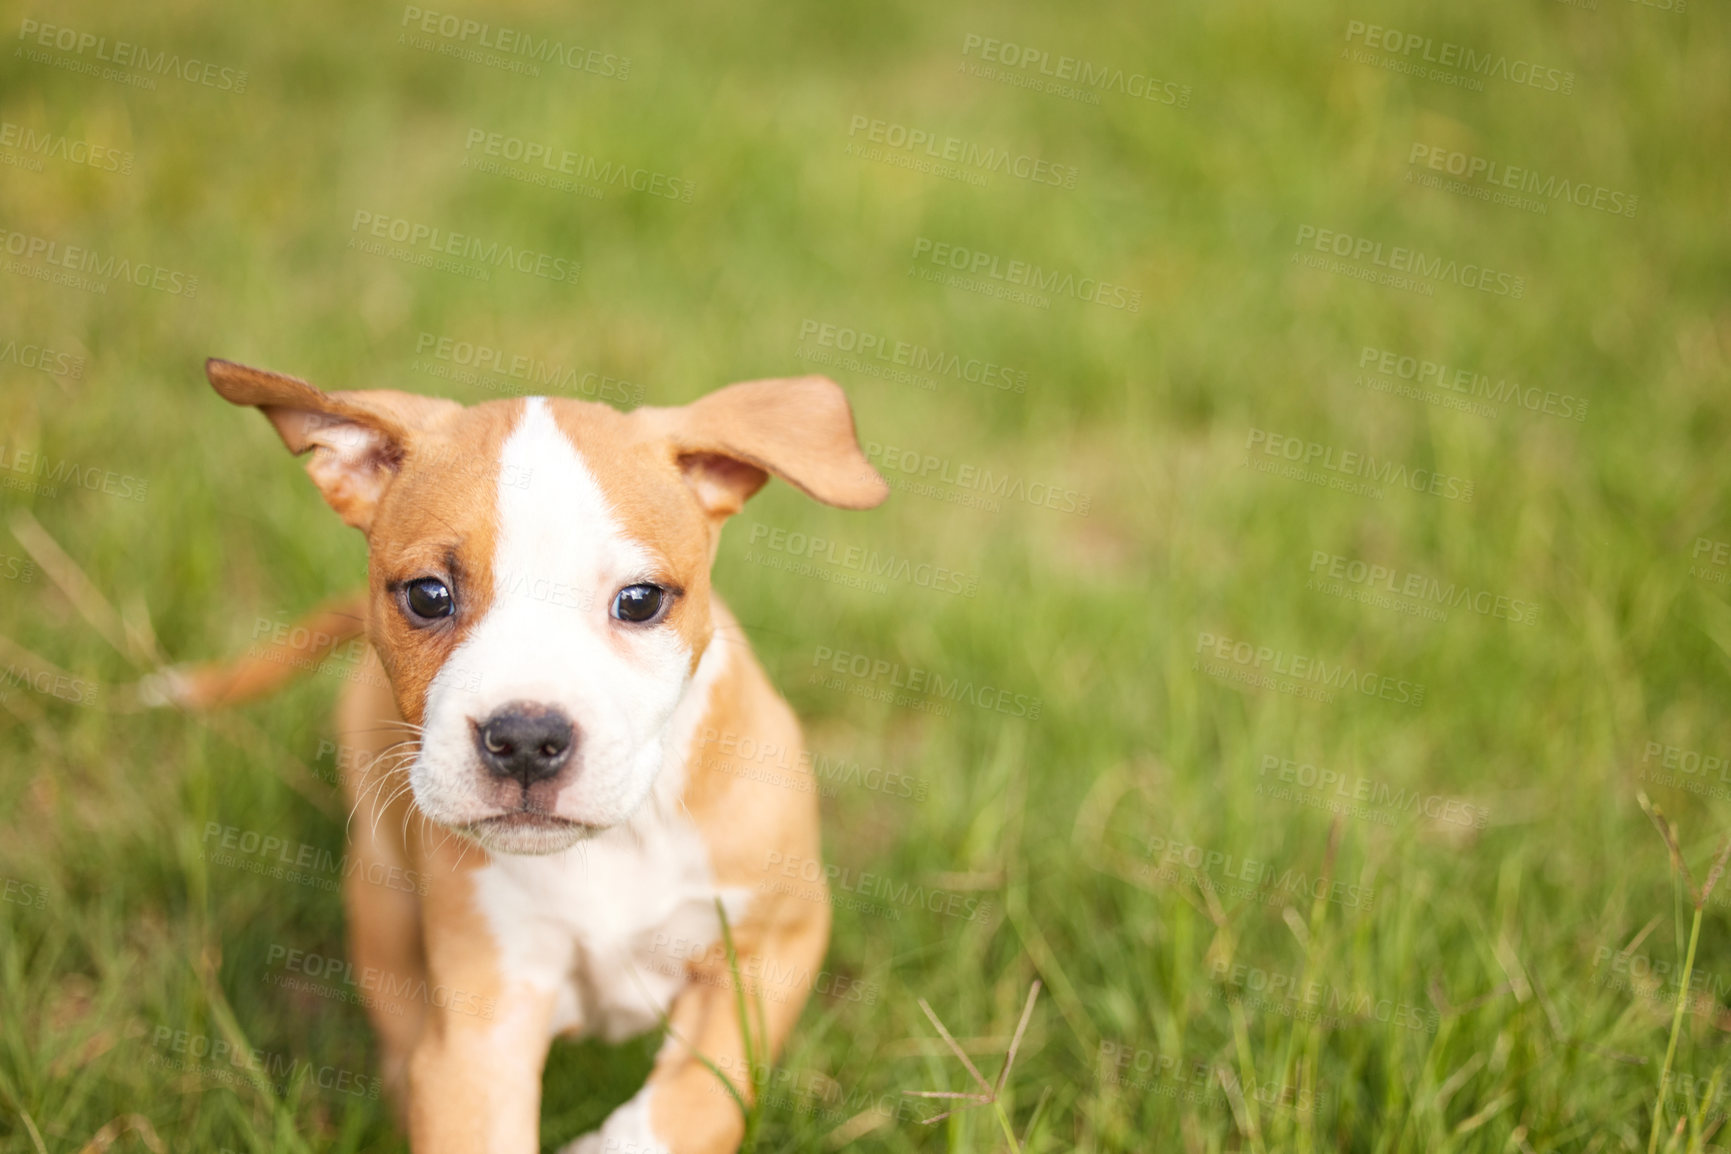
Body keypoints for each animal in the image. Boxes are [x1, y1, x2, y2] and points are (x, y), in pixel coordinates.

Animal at [196, 361, 886, 1154]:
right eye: (428, 595)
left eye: (640, 601)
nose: (525, 739)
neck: (620, 840)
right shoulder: (483, 1024)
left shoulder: (773, 942)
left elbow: (702, 1096)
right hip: (380, 893)